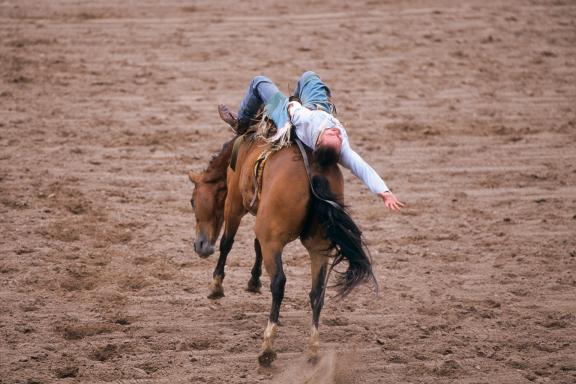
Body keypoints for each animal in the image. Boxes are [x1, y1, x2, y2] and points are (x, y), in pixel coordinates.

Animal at [189, 134, 376, 366]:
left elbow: (227, 243)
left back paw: (267, 347)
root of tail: (315, 169)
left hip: (272, 239)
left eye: (192, 201)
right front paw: (253, 281)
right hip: (317, 246)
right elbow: (255, 244)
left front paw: (216, 286)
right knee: (317, 292)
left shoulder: (233, 204)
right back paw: (312, 349)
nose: (200, 246)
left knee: (278, 283)